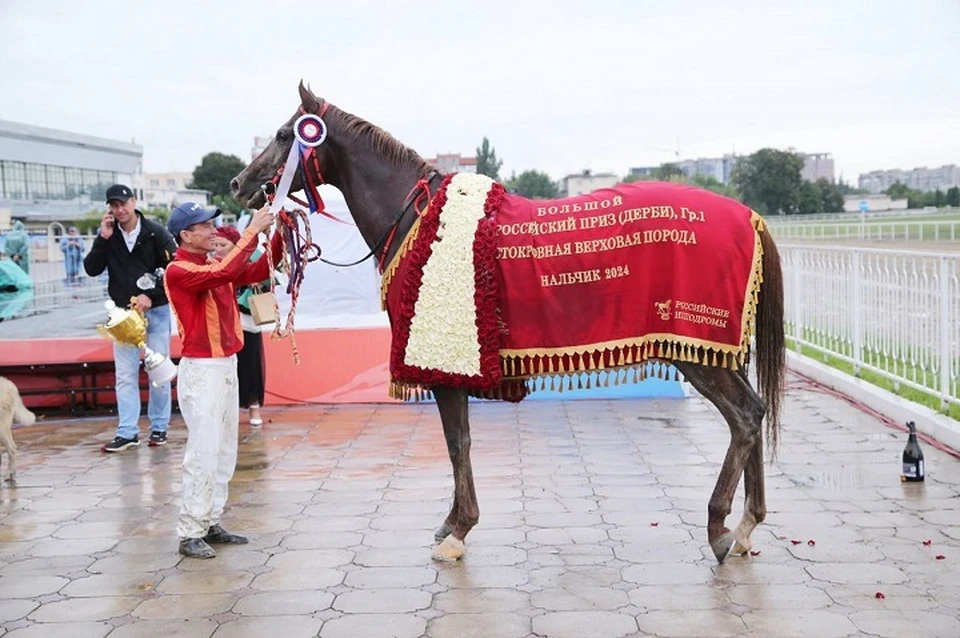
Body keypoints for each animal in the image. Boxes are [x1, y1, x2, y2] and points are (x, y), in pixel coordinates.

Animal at [229, 81, 784, 564]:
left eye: (285, 134)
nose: (239, 184)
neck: (416, 217)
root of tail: (750, 217)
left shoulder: (444, 366)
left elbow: (457, 443)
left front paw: (458, 530)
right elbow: (460, 443)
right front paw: (452, 523)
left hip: (697, 350)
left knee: (743, 418)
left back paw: (719, 527)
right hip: (718, 351)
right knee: (754, 414)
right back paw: (747, 526)